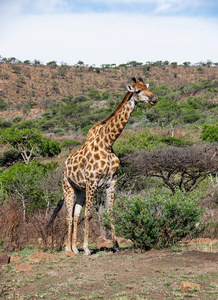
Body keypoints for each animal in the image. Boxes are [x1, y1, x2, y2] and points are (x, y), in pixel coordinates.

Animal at [47, 76, 158, 254]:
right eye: (138, 91)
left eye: (148, 88)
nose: (154, 99)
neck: (107, 143)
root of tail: (64, 165)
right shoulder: (92, 181)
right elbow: (89, 215)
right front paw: (87, 249)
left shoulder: (112, 181)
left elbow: (110, 213)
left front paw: (116, 246)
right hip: (67, 187)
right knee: (69, 216)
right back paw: (68, 248)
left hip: (80, 190)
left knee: (76, 214)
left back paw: (75, 248)